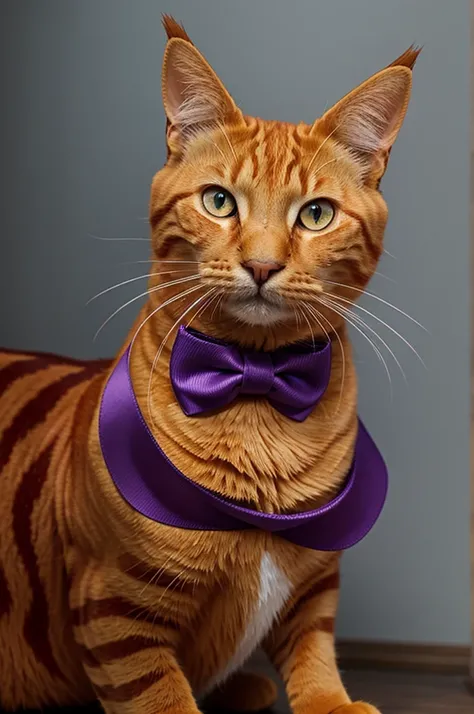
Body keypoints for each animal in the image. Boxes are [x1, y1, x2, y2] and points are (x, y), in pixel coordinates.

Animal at [0, 15, 418, 712]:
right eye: (220, 202)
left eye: (316, 214)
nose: (261, 264)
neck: (257, 389)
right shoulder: (116, 614)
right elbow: (163, 696)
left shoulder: (314, 584)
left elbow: (313, 650)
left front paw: (331, 700)